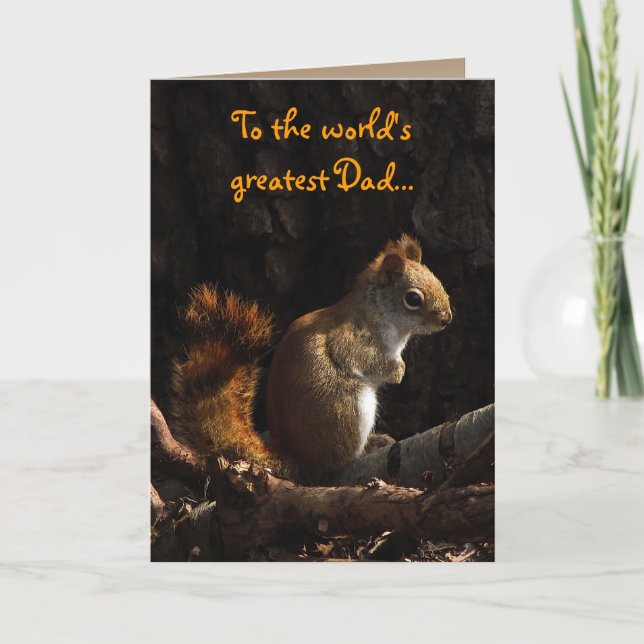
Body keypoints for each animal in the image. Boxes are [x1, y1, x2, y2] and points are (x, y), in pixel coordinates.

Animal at [170, 234, 452, 484]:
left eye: (437, 279)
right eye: (413, 298)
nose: (447, 319)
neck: (380, 314)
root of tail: (299, 459)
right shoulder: (352, 338)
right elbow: (362, 359)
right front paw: (397, 371)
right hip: (348, 407)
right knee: (337, 463)